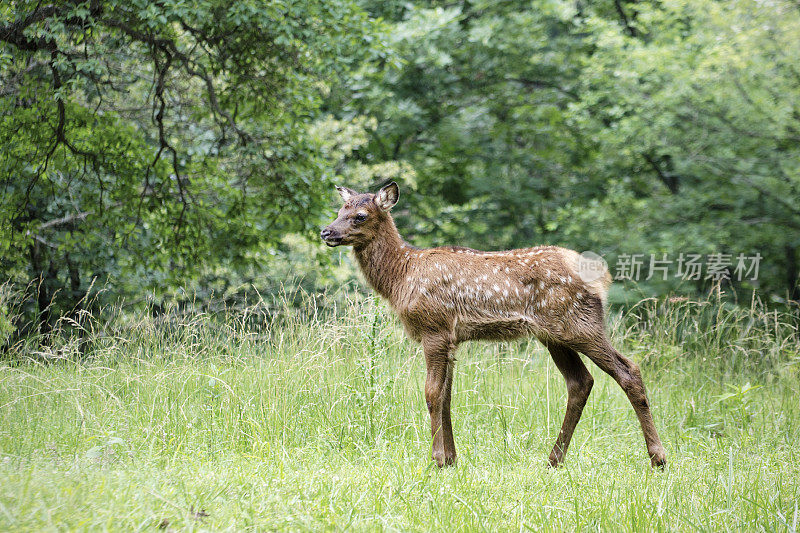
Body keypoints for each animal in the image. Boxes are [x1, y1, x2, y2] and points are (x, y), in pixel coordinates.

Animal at [322, 183, 664, 466]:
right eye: (340, 210)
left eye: (360, 216)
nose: (326, 232)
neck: (401, 276)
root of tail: (601, 276)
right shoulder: (452, 338)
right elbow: (447, 396)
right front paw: (452, 459)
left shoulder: (434, 328)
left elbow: (431, 394)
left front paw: (435, 459)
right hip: (553, 334)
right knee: (581, 382)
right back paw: (554, 459)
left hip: (579, 324)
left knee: (629, 370)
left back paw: (657, 458)